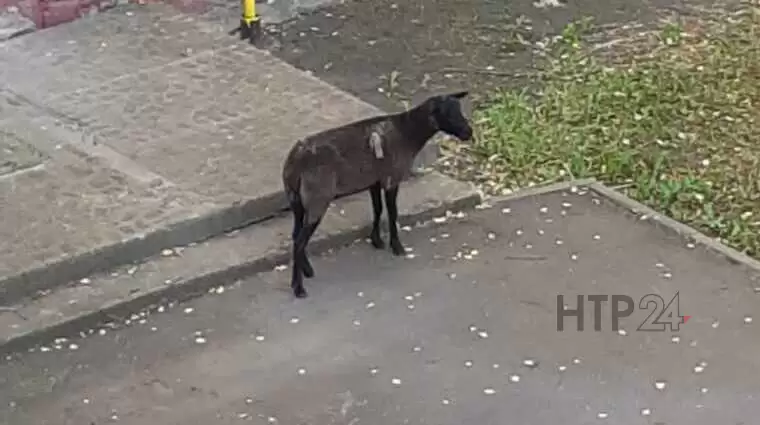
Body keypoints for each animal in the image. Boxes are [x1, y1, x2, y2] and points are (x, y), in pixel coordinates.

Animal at [282, 91, 472, 296]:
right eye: (448, 114)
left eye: (459, 110)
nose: (469, 132)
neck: (408, 133)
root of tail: (294, 162)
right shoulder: (391, 178)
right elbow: (392, 212)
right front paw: (396, 246)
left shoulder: (374, 180)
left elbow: (378, 209)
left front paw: (376, 240)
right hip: (317, 198)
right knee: (300, 241)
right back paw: (298, 287)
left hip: (296, 199)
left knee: (296, 236)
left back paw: (307, 270)